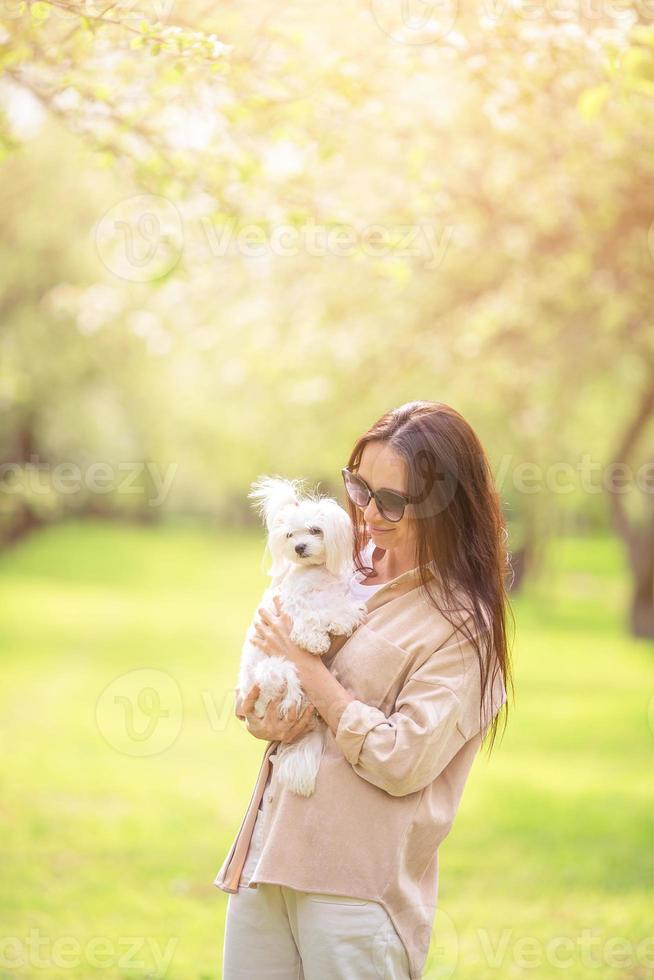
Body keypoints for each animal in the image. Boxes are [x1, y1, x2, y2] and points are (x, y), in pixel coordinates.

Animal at [238, 474, 368, 796]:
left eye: (315, 530)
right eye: (289, 535)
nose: (299, 547)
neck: (315, 574)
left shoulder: (332, 593)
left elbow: (336, 607)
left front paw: (344, 619)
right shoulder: (291, 604)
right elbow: (310, 617)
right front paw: (317, 638)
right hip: (275, 672)